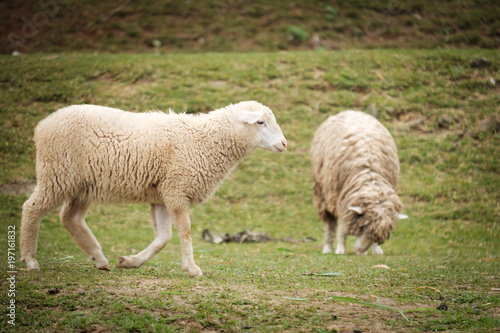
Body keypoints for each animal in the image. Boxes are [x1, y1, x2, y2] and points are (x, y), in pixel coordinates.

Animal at [21, 100, 288, 276]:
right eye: (261, 122)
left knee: (70, 218)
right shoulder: (176, 188)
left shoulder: (161, 194)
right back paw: (31, 260)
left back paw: (99, 258)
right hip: (57, 175)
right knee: (32, 208)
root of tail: (42, 126)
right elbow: (184, 231)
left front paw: (131, 261)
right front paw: (192, 268)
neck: (204, 140)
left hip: (82, 184)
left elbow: (163, 237)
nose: (284, 144)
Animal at [310, 111, 408, 254]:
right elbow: (342, 227)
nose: (361, 250)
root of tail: (351, 111)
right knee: (330, 222)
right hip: (323, 192)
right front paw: (340, 249)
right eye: (364, 226)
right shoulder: (341, 199)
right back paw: (328, 247)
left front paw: (375, 250)